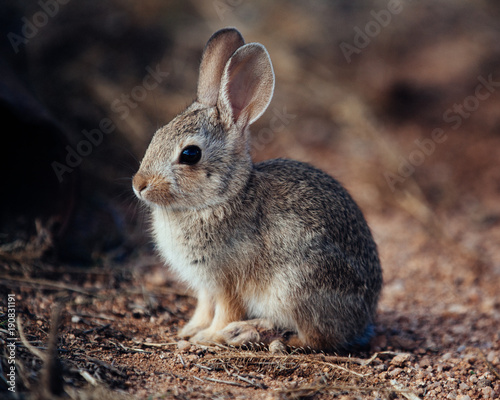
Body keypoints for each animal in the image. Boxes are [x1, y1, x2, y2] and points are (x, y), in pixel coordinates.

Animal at [133, 28, 382, 352]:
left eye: (190, 154)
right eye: (157, 134)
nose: (139, 184)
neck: (220, 198)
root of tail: (362, 321)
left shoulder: (228, 283)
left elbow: (224, 312)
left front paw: (209, 337)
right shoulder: (206, 286)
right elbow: (204, 307)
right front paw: (190, 330)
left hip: (295, 288)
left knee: (315, 338)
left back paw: (256, 335)